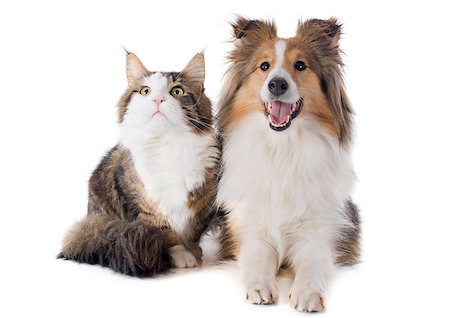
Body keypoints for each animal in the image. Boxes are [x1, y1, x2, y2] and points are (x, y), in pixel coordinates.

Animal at [58, 51, 220, 278]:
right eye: (145, 91)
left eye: (177, 91)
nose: (158, 99)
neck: (167, 145)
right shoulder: (148, 209)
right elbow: (168, 234)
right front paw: (182, 256)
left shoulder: (203, 202)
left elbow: (194, 231)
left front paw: (195, 251)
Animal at [216, 16, 360, 312]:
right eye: (264, 66)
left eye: (301, 65)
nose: (277, 85)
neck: (282, 148)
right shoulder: (249, 228)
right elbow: (257, 256)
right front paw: (260, 286)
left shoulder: (320, 231)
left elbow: (313, 262)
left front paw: (307, 292)